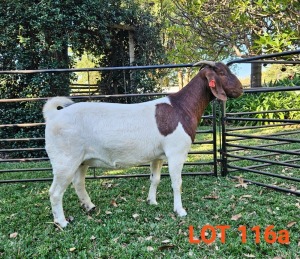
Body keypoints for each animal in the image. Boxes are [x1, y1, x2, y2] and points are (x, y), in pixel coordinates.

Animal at [43, 62, 243, 229]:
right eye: (222, 73)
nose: (241, 89)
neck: (182, 107)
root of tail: (53, 116)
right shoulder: (176, 152)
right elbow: (176, 182)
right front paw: (180, 211)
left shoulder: (158, 156)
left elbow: (155, 179)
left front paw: (152, 201)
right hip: (65, 159)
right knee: (55, 192)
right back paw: (62, 222)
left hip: (81, 160)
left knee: (78, 183)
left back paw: (90, 206)